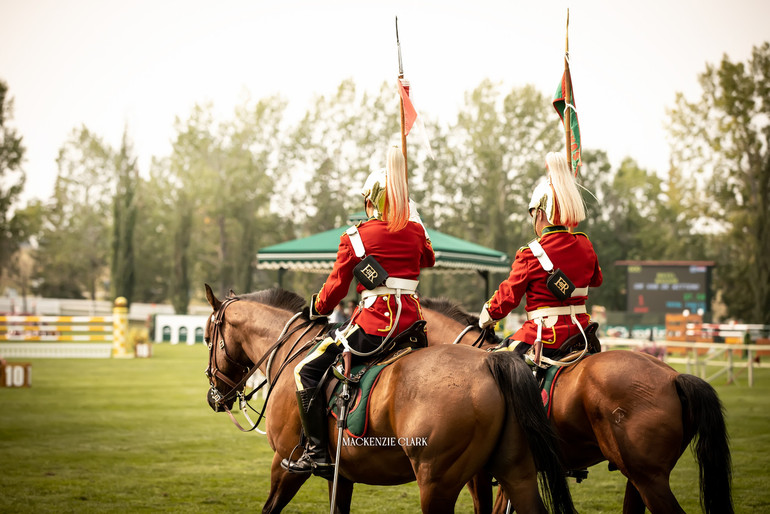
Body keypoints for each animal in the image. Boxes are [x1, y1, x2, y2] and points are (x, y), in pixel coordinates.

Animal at [201, 284, 572, 512]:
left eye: (207, 338)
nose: (214, 396)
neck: (293, 353)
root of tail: (489, 362)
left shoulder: (286, 465)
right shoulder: (341, 476)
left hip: (437, 483)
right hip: (514, 473)